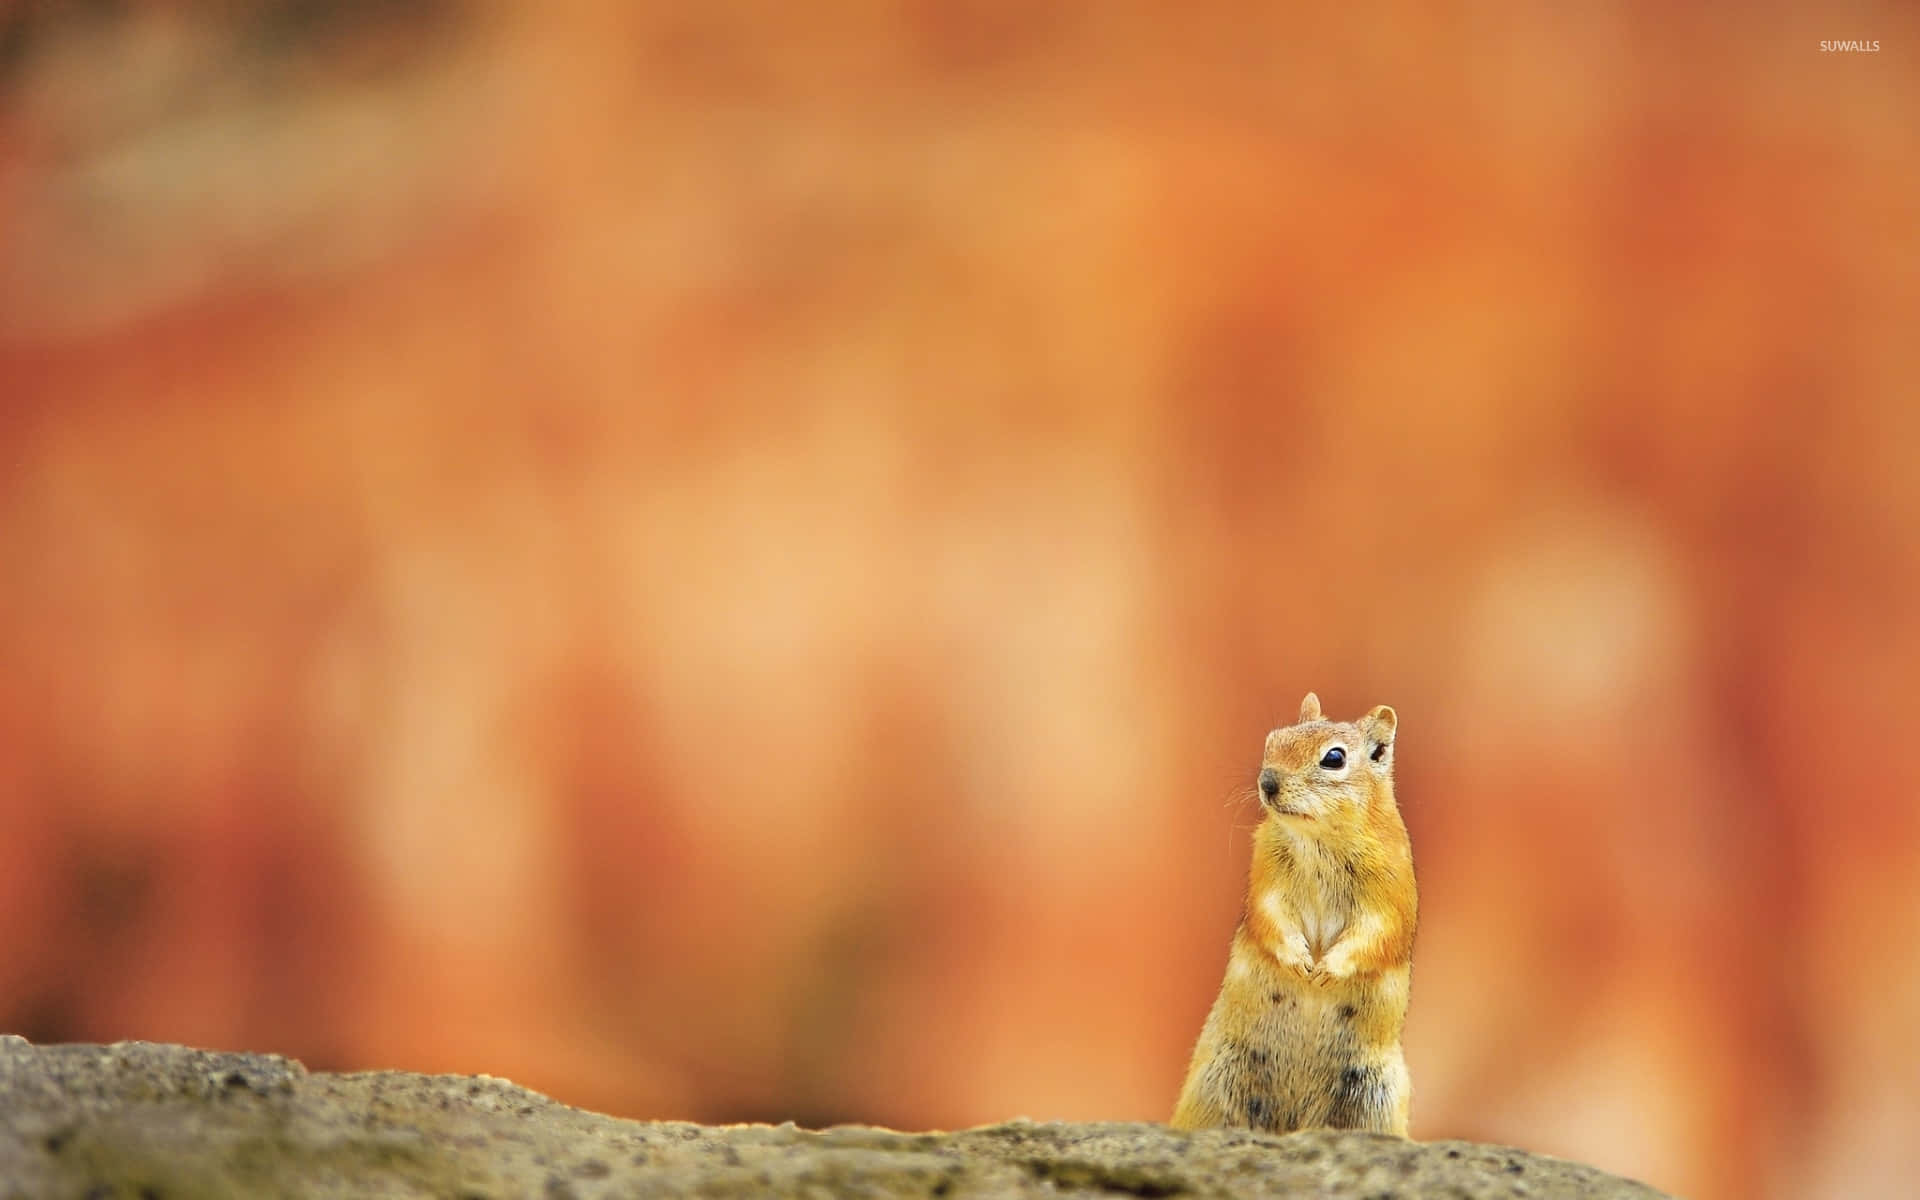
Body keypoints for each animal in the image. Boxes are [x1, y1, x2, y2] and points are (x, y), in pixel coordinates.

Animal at [1171, 692, 1417, 1137]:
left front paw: (1326, 970)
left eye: (1334, 758)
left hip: (1376, 1098)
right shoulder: (1265, 878)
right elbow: (1271, 917)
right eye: (1273, 739)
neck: (1318, 839)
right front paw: (1300, 961)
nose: (1268, 781)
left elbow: (1374, 934)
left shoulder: (1390, 896)